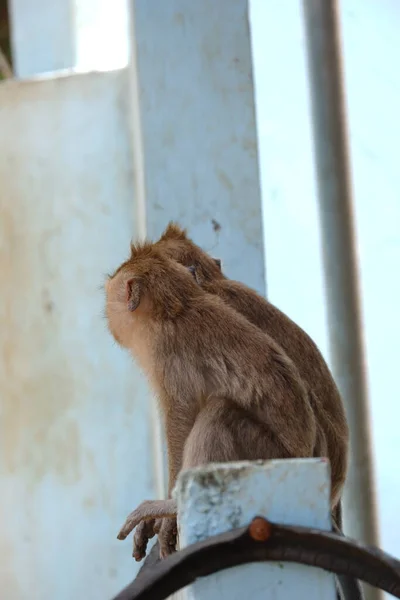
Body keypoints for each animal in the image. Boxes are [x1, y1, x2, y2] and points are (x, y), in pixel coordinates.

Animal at [106, 241, 318, 560]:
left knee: (220, 412)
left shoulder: (165, 353)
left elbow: (181, 416)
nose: (107, 315)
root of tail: (304, 457)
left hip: (268, 452)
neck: (177, 307)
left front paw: (167, 514)